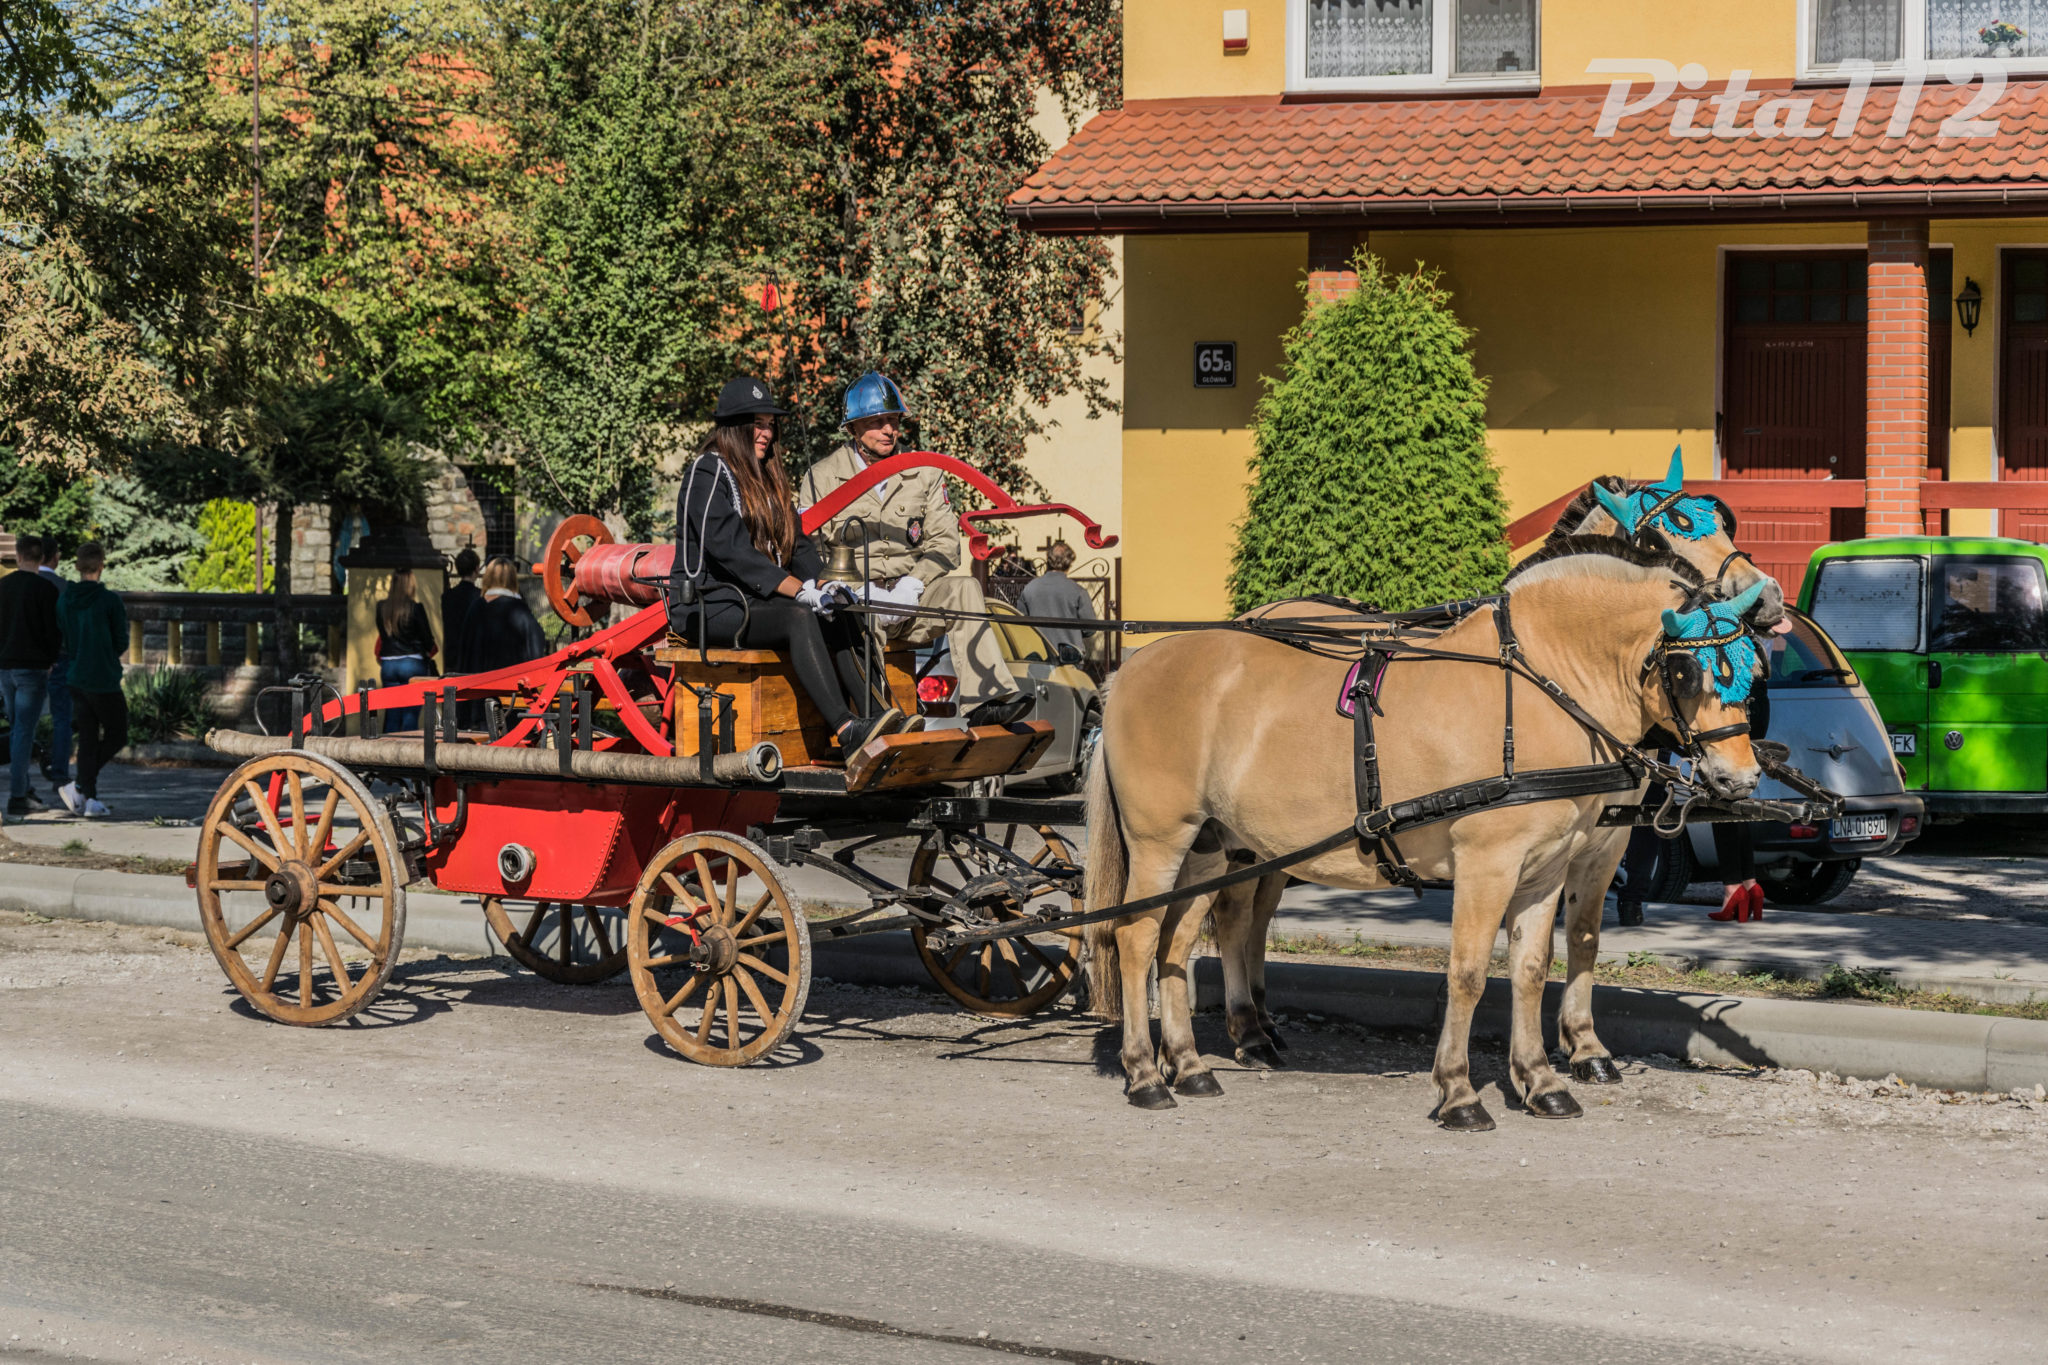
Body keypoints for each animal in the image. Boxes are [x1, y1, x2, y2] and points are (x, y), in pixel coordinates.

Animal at [1082, 545, 1767, 1127]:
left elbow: (1531, 968)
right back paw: (1147, 1073)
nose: (1738, 778)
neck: (1544, 687)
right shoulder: (1489, 863)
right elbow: (1468, 972)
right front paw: (1460, 1091)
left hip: (1211, 847)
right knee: (1137, 937)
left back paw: (1189, 1063)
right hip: (1161, 840)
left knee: (1176, 940)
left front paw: (1541, 1080)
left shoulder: (1547, 869)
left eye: (1751, 673)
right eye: (1687, 671)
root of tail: (1129, 668)